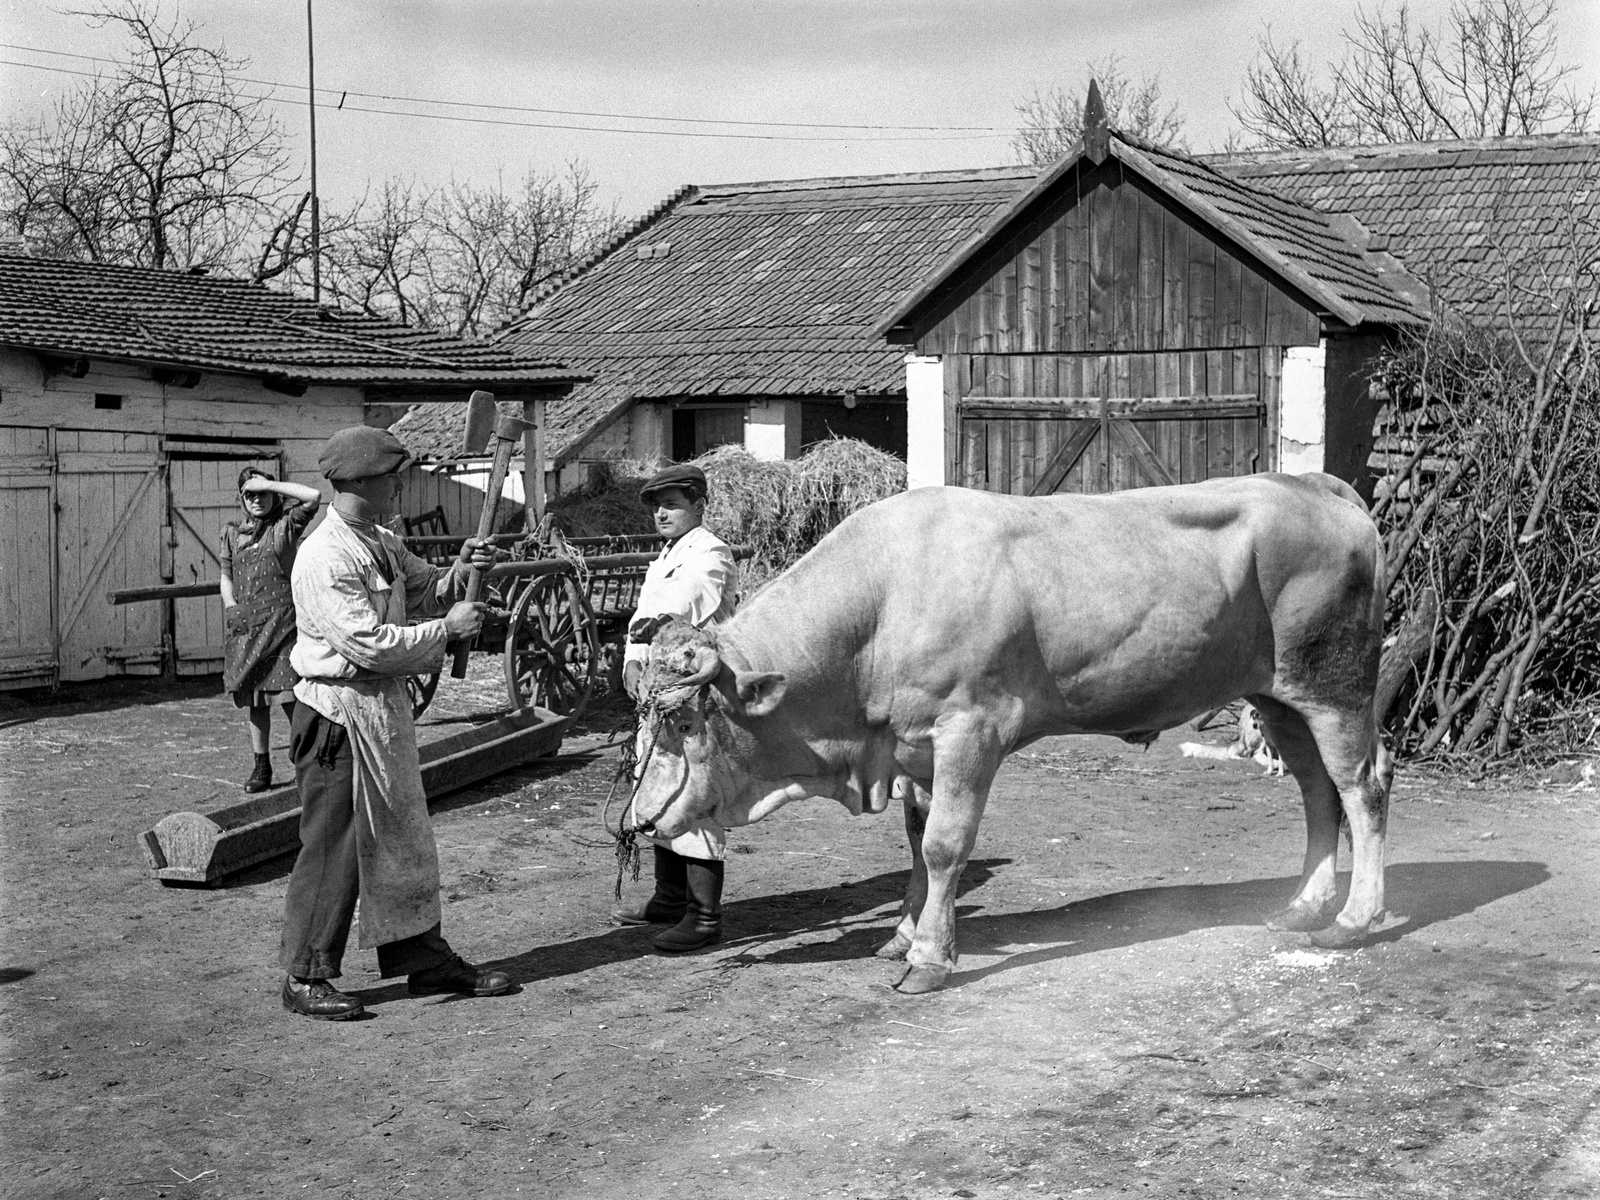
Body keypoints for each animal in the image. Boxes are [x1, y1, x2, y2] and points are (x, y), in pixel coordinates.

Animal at [630, 476, 1395, 998]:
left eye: (685, 721)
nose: (638, 820)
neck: (884, 602)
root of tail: (1312, 484)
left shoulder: (971, 729)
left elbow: (944, 845)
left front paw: (929, 960)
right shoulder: (913, 746)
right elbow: (916, 840)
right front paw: (903, 934)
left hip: (1335, 687)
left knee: (1362, 784)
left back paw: (1354, 919)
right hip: (1277, 696)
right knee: (1317, 790)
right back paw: (1303, 905)